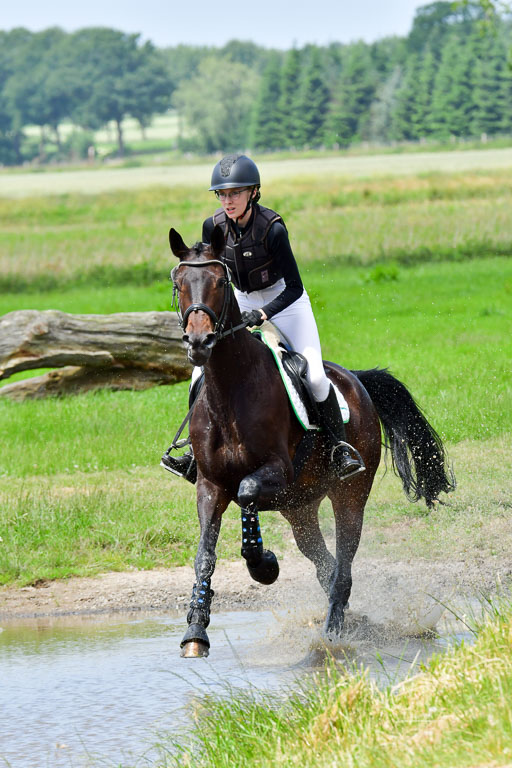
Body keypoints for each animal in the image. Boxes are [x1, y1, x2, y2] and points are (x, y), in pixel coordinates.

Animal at [168, 225, 455, 658]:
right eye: (179, 283)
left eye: (220, 282)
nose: (199, 342)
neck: (231, 390)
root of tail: (354, 379)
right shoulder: (211, 484)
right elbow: (205, 554)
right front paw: (196, 630)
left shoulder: (276, 470)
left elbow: (247, 490)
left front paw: (264, 564)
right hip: (299, 508)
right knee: (325, 564)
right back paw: (350, 618)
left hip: (349, 494)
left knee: (343, 563)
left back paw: (333, 631)